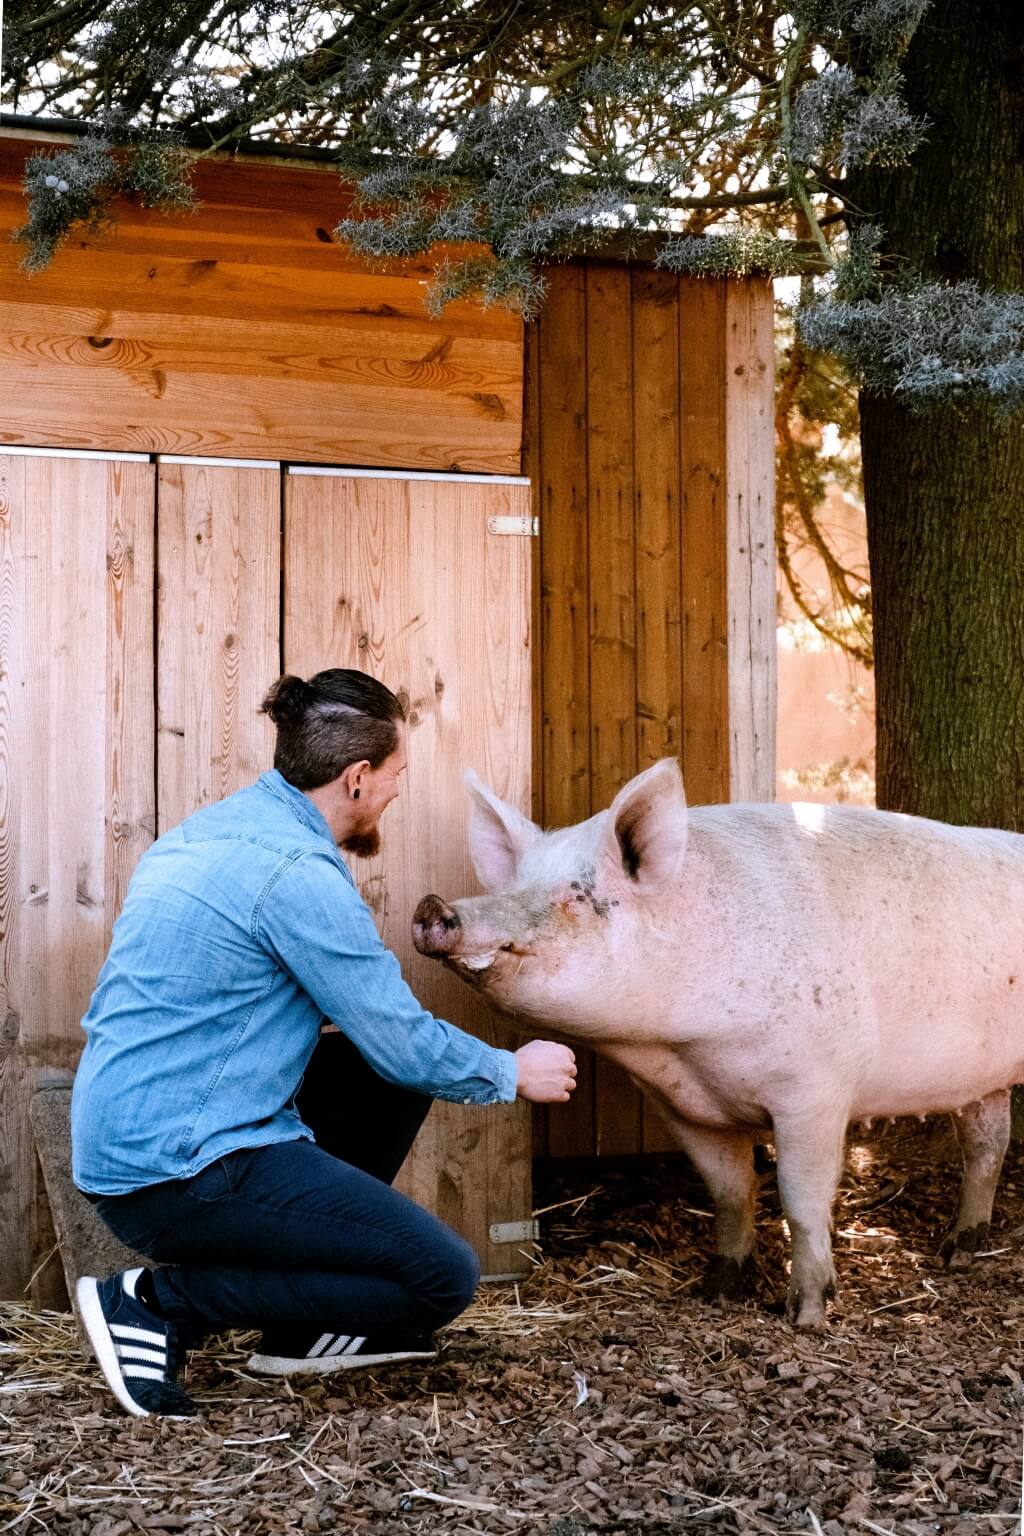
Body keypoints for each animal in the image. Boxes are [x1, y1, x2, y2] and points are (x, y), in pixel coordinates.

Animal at [411, 761, 1024, 1327]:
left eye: (577, 896)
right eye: (512, 887)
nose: (434, 906)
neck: (685, 1049)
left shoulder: (816, 1090)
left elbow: (802, 1199)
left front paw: (806, 1315)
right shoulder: (683, 1106)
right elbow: (729, 1191)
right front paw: (717, 1291)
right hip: (981, 1083)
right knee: (987, 1145)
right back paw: (957, 1253)